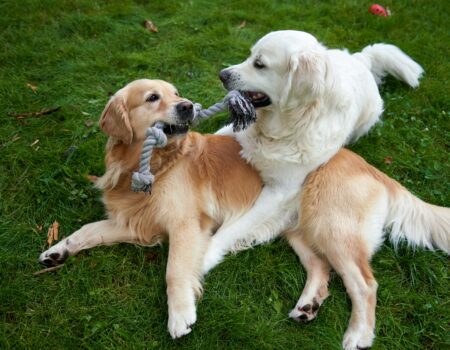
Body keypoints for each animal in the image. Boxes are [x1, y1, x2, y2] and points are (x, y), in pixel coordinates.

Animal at [39, 80, 264, 340]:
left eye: (176, 94)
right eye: (153, 97)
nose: (188, 106)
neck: (150, 164)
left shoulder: (185, 223)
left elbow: (174, 270)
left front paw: (180, 313)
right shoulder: (138, 220)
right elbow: (87, 230)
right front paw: (57, 250)